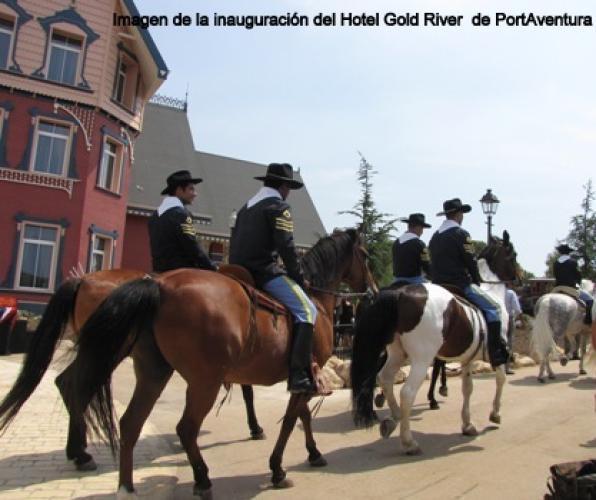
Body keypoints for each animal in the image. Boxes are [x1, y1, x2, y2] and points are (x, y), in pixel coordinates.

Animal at [0, 272, 264, 470]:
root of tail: (82, 279)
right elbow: (248, 392)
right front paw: (256, 428)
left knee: (67, 382)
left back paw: (78, 450)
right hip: (107, 351)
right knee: (76, 386)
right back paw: (81, 453)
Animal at [62, 229, 374, 498]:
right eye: (365, 254)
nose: (372, 291)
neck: (314, 300)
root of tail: (158, 284)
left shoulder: (303, 379)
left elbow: (302, 416)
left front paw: (313, 453)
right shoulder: (305, 376)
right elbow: (290, 421)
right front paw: (277, 468)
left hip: (153, 374)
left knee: (129, 423)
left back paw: (124, 486)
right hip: (203, 383)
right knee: (185, 428)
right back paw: (202, 479)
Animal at [352, 232, 520, 456]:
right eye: (513, 255)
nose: (519, 279)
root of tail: (400, 293)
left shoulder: (467, 359)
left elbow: (467, 388)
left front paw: (467, 424)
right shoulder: (497, 354)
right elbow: (500, 379)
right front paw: (495, 414)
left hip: (397, 354)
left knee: (385, 378)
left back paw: (393, 419)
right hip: (421, 360)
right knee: (407, 393)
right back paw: (409, 442)